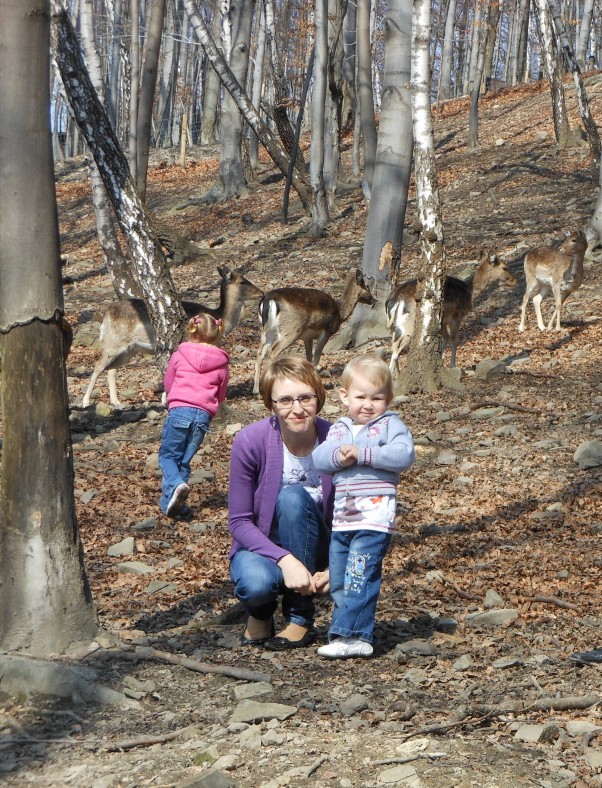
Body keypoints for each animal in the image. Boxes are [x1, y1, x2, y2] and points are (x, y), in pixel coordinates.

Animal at [83, 268, 262, 410]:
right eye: (242, 281)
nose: (261, 292)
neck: (217, 315)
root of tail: (105, 315)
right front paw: (165, 400)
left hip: (130, 349)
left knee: (111, 369)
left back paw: (117, 402)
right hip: (113, 342)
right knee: (98, 365)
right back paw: (85, 402)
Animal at [384, 252, 516, 376]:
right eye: (504, 267)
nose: (515, 280)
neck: (470, 292)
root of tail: (393, 299)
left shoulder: (442, 321)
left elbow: (445, 338)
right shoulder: (456, 316)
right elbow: (454, 340)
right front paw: (452, 366)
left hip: (395, 324)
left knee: (393, 343)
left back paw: (398, 373)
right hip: (409, 322)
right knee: (396, 345)